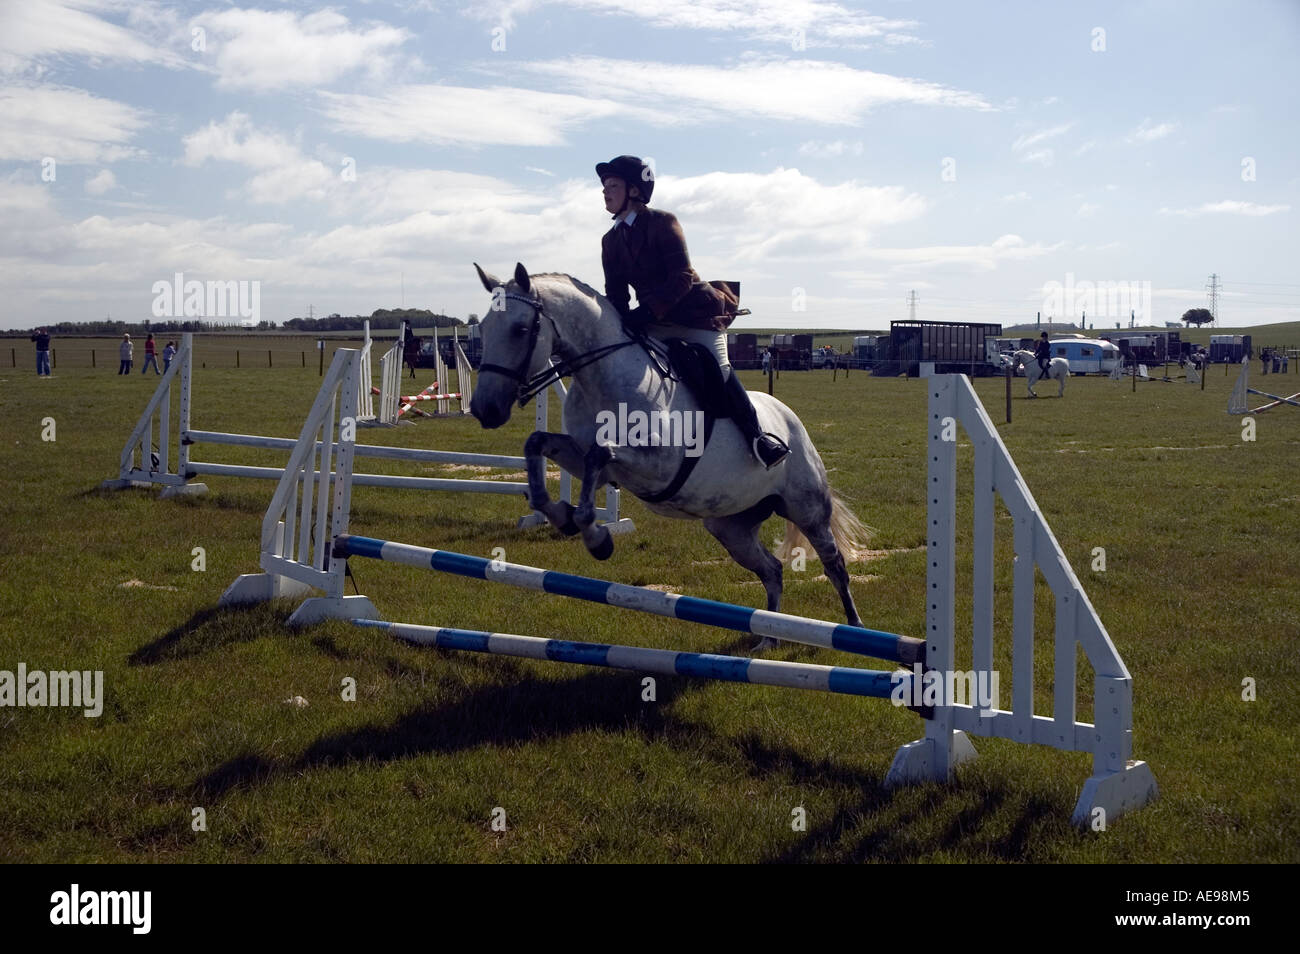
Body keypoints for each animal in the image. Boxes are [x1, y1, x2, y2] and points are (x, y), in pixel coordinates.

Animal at [470, 263, 873, 634]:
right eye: (484, 329)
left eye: (521, 330)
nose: (484, 410)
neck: (602, 377)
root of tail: (791, 419)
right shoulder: (588, 461)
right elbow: (539, 443)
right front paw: (560, 515)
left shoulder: (658, 466)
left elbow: (601, 453)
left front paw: (597, 538)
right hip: (731, 527)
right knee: (771, 570)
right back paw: (766, 639)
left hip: (807, 508)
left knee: (834, 565)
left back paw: (854, 627)